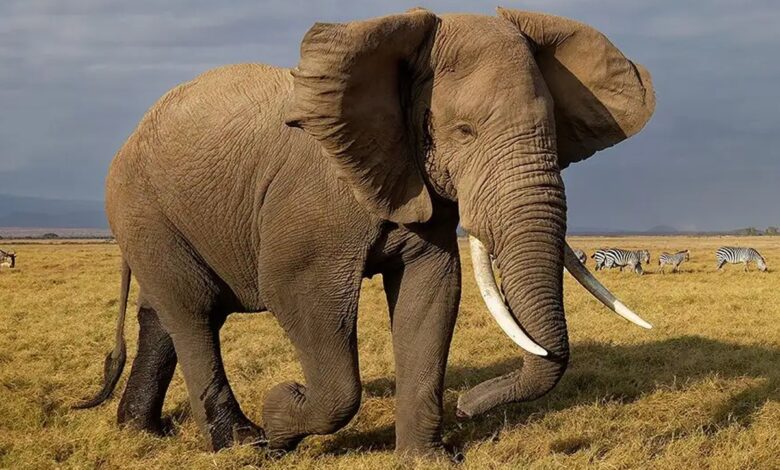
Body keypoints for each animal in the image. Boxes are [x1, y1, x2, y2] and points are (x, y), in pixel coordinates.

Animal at [76, 7, 656, 457]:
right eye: (463, 132)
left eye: (554, 133)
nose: (469, 408)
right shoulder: (314, 202)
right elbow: (300, 296)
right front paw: (281, 412)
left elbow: (432, 292)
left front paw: (428, 460)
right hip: (141, 209)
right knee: (193, 313)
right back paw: (240, 443)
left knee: (163, 315)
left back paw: (142, 432)